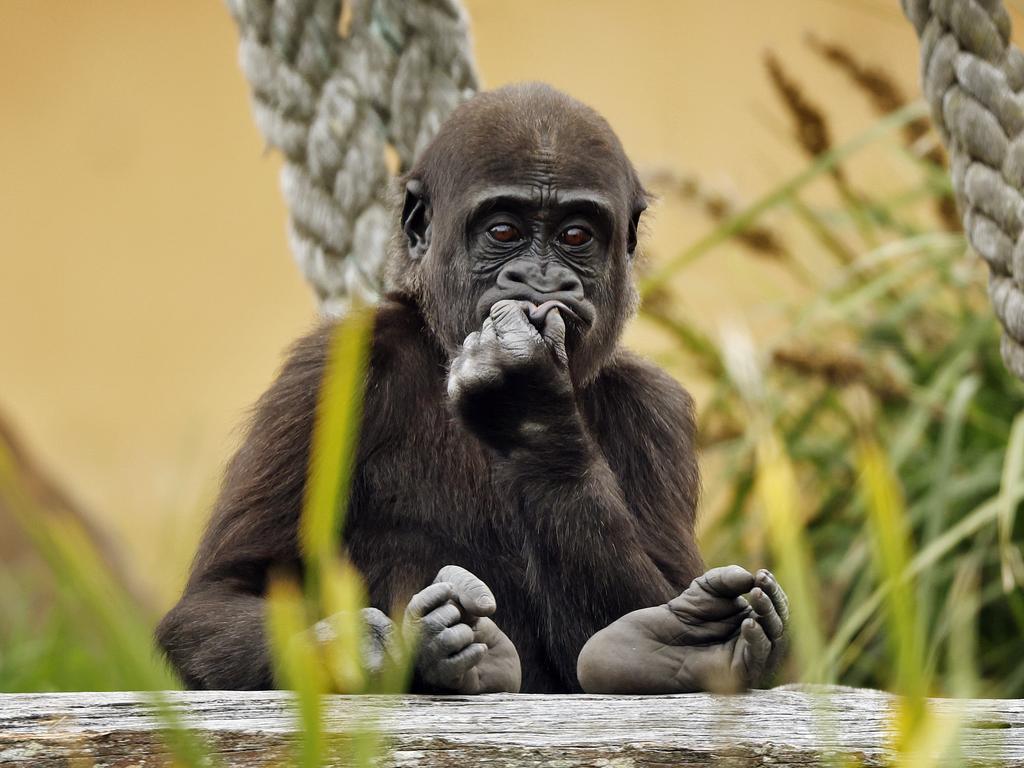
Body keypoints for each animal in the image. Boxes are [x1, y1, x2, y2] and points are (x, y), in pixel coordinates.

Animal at [153, 83, 790, 696]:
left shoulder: (657, 411)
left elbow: (646, 594)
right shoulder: (326, 373)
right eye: (503, 231)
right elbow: (220, 595)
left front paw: (530, 412)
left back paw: (681, 644)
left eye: (575, 236)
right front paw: (365, 649)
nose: (542, 280)